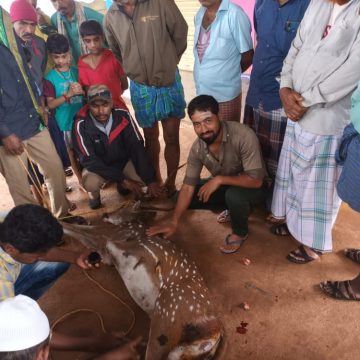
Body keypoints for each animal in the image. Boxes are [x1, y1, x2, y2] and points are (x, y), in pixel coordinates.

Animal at [63, 202, 224, 360]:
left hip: (167, 313)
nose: (105, 213)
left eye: (123, 206)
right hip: (176, 348)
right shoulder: (107, 254)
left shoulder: (110, 234)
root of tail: (215, 334)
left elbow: (71, 228)